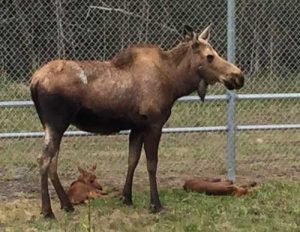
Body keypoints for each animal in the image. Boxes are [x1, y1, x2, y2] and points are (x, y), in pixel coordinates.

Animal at [29, 25, 244, 218]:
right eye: (210, 56)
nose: (238, 76)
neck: (174, 82)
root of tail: (34, 81)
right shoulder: (154, 124)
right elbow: (151, 164)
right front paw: (155, 204)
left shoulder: (137, 127)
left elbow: (132, 160)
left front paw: (127, 197)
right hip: (57, 123)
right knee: (44, 159)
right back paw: (47, 211)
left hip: (53, 126)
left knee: (53, 161)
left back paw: (66, 205)